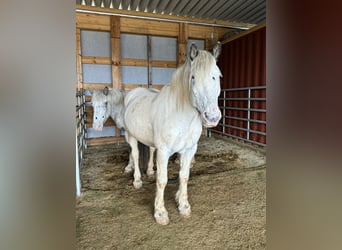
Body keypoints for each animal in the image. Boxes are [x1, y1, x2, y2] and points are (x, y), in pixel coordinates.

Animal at [123, 43, 222, 225]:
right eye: (193, 77)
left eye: (217, 76)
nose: (212, 117)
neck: (181, 115)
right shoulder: (164, 152)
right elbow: (162, 180)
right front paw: (160, 213)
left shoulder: (189, 150)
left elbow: (184, 176)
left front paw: (183, 206)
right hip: (130, 135)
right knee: (135, 153)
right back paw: (137, 180)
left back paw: (149, 171)